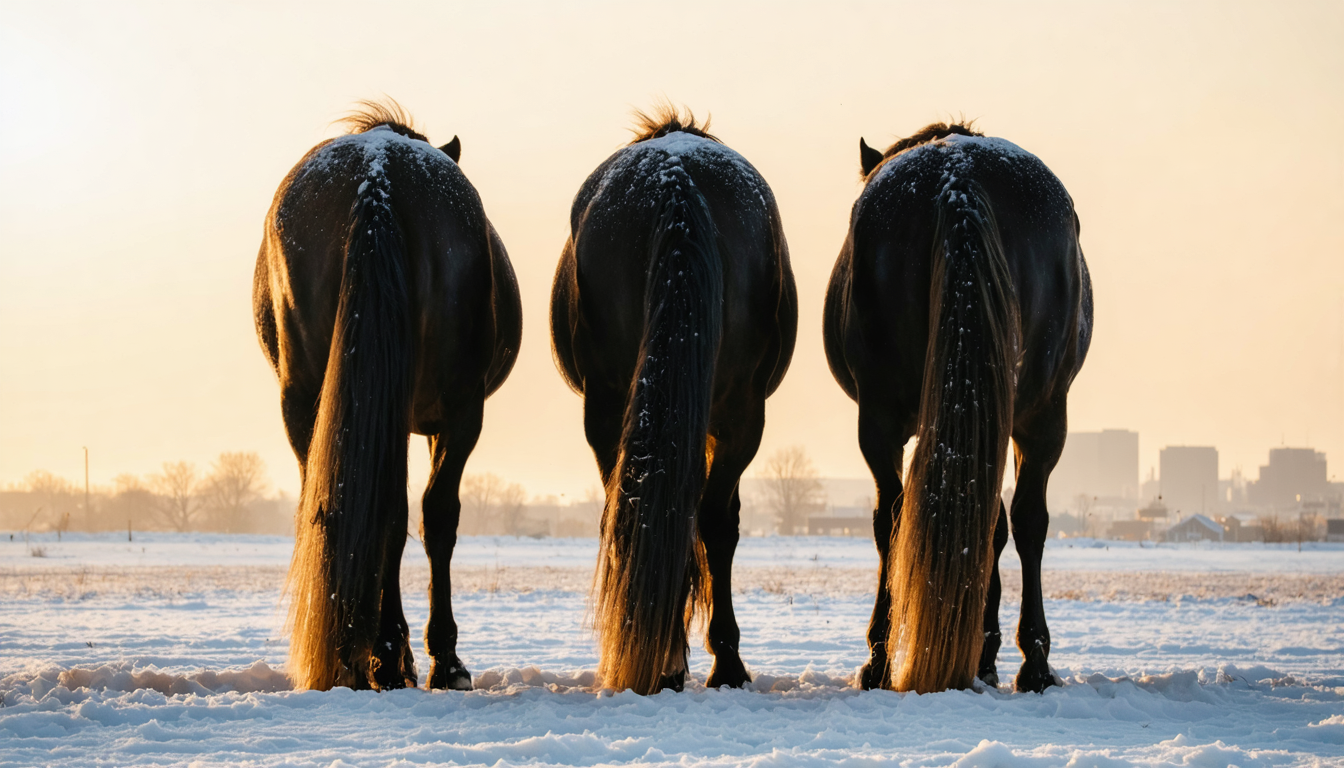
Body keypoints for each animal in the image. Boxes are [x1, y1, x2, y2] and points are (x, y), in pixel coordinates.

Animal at [253, 101, 522, 691]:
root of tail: (377, 175)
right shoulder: (452, 417)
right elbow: (433, 519)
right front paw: (439, 658)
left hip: (304, 403)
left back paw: (359, 654)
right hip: (454, 410)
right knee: (415, 514)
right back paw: (397, 654)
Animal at [823, 122, 1092, 694]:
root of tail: (959, 178)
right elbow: (997, 526)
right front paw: (986, 652)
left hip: (880, 420)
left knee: (893, 515)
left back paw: (881, 658)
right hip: (1041, 415)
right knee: (1028, 520)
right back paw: (1034, 663)